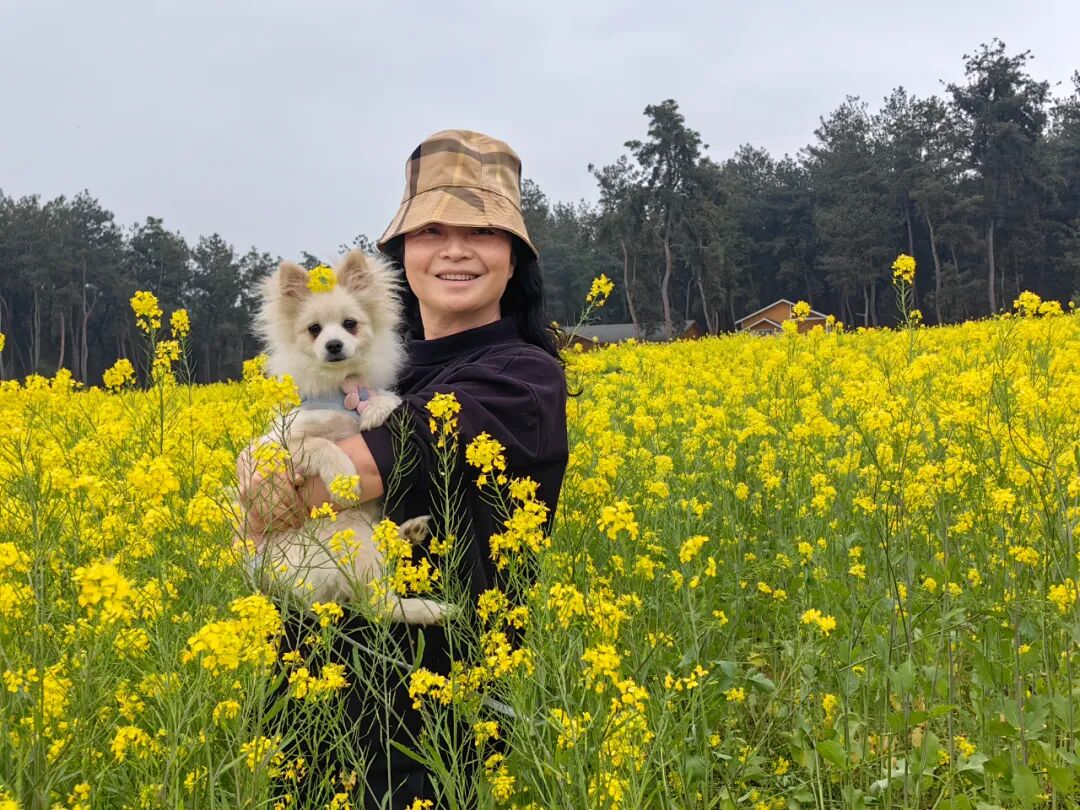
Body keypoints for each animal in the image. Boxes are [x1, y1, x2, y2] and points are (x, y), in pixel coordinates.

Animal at [238, 250, 447, 625]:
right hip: (346, 533)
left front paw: (376, 408)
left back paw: (409, 533)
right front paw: (343, 475)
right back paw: (430, 607)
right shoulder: (281, 443)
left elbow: (384, 398)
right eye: (314, 330)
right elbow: (318, 444)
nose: (333, 344)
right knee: (377, 604)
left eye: (350, 324)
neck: (339, 390)